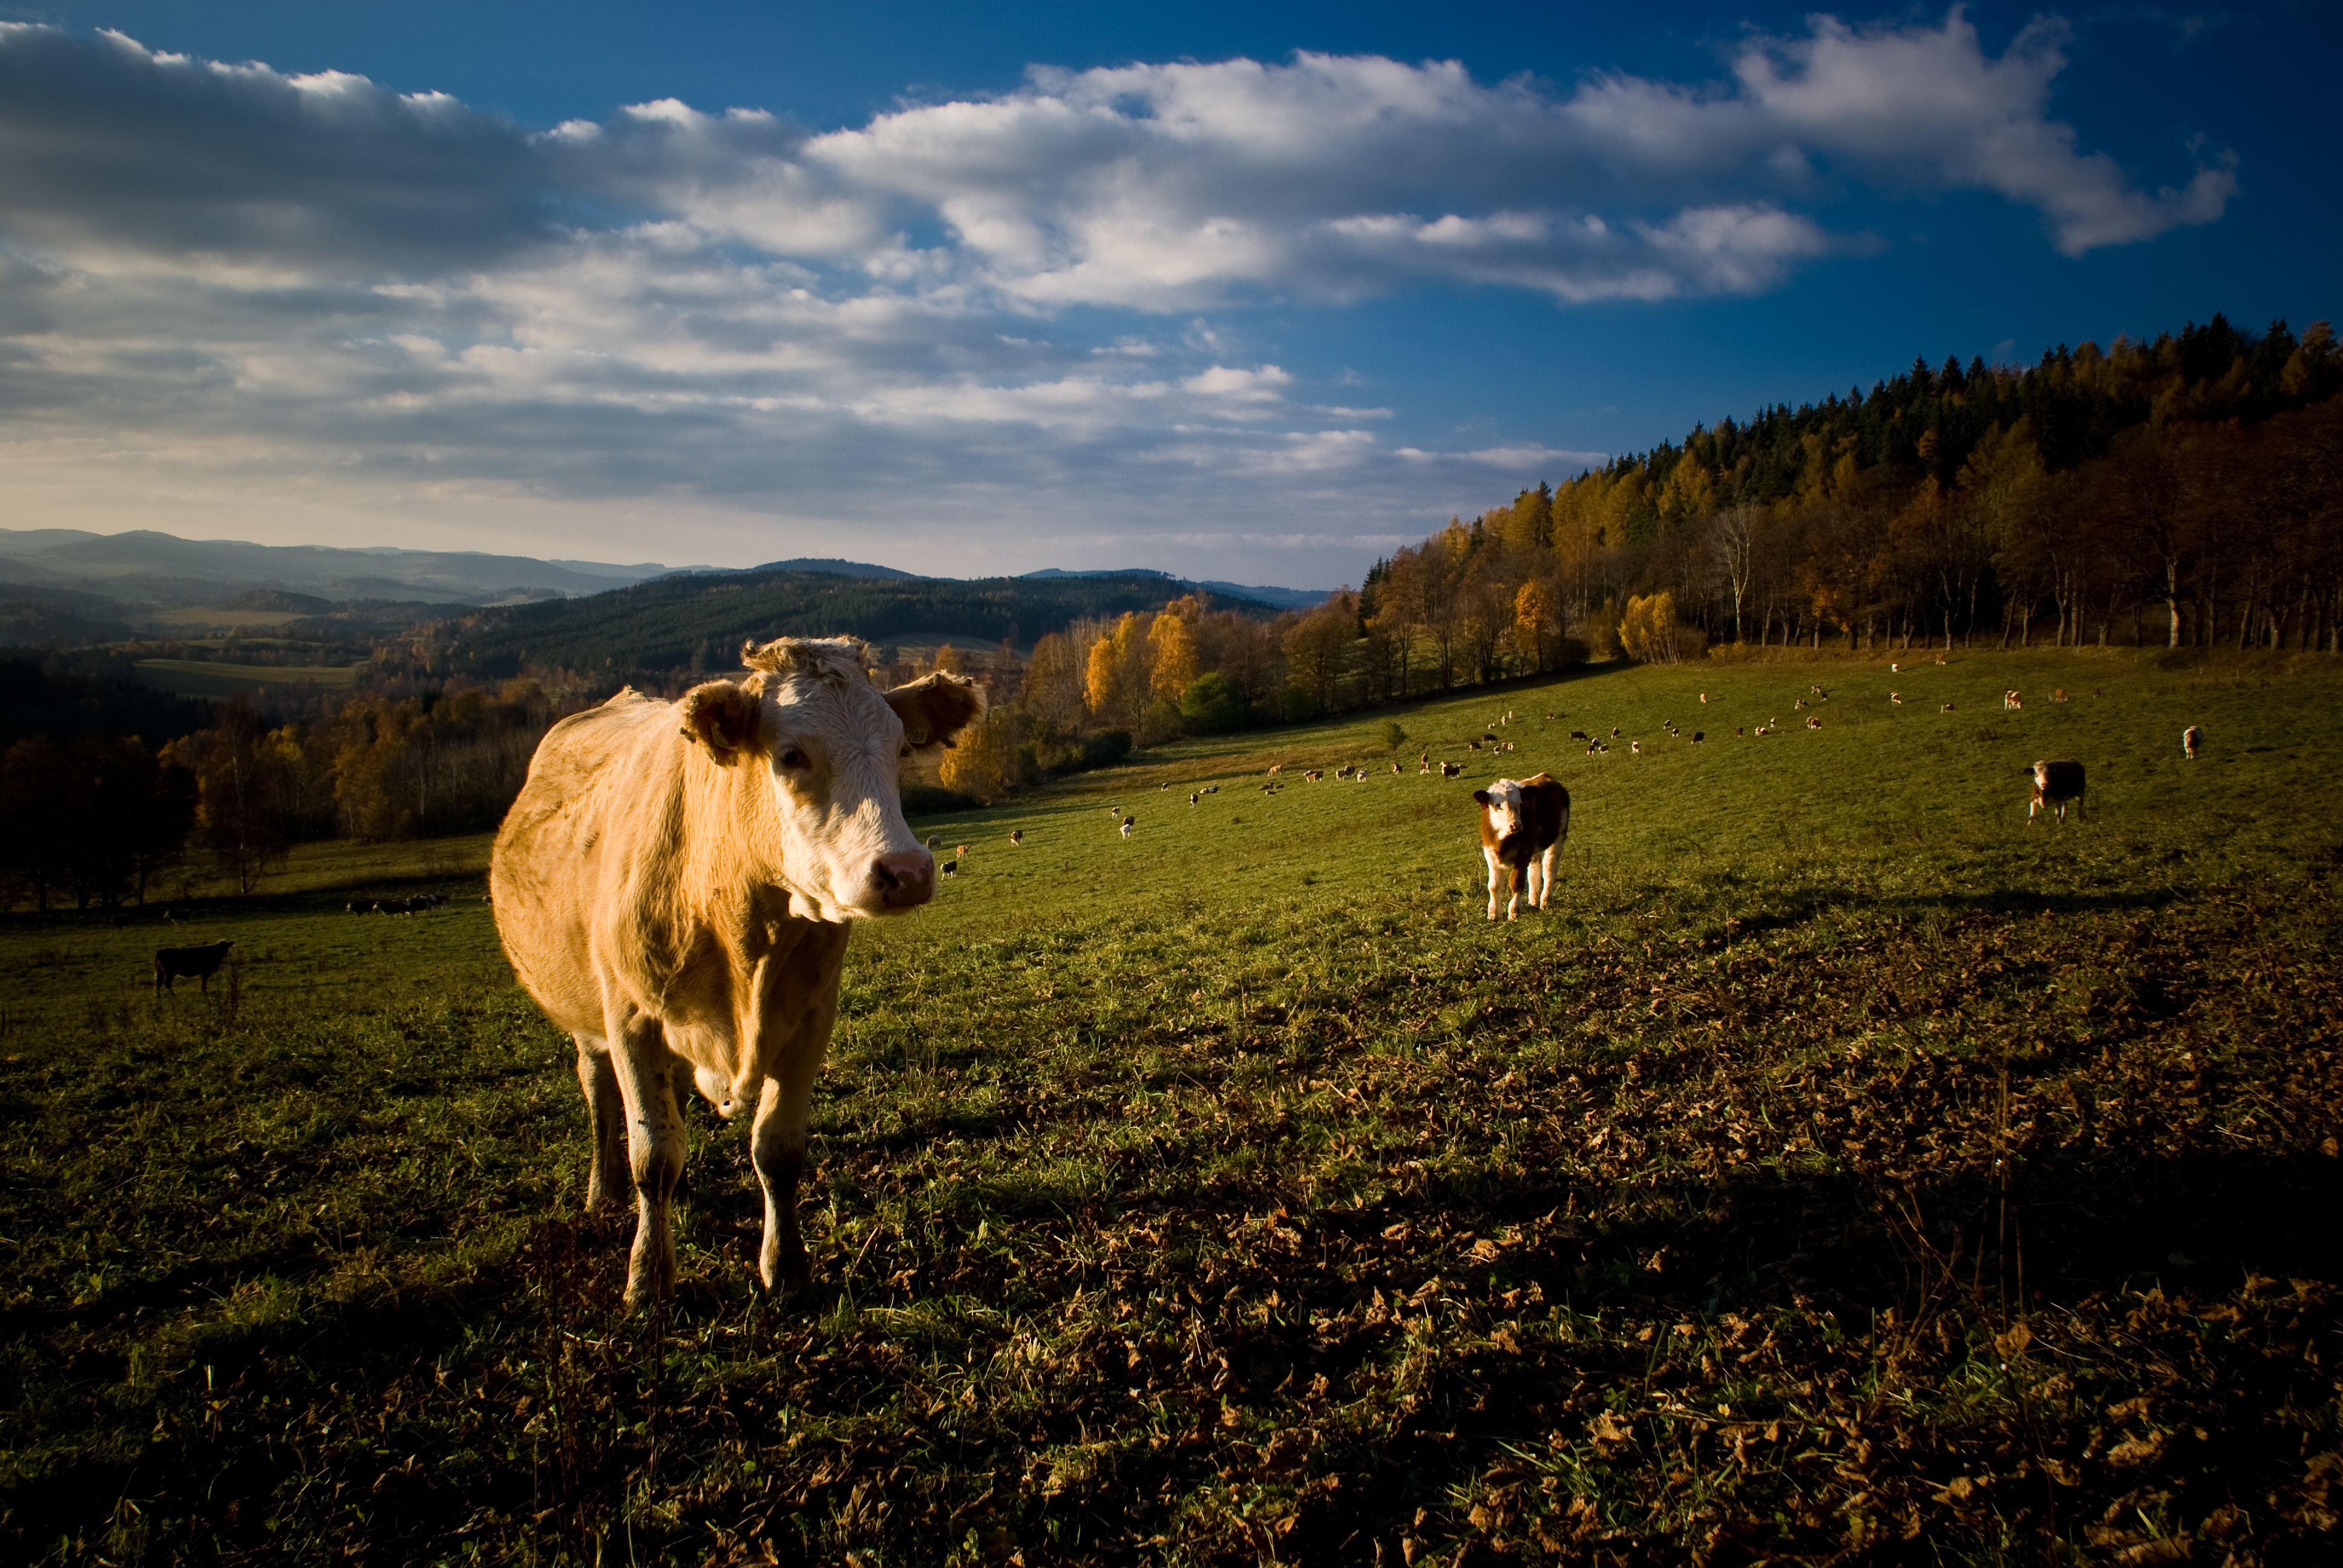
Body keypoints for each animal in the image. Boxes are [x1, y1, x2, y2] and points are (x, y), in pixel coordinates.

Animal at [155, 940, 233, 995]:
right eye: (221, 947)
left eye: (226, 946)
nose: (224, 952)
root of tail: (163, 951)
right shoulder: (206, 971)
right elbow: (204, 981)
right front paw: (205, 991)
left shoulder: (204, 972)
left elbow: (204, 981)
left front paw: (204, 990)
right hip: (170, 972)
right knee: (167, 983)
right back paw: (173, 994)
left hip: (163, 972)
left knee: (159, 982)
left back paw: (159, 996)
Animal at [490, 636, 983, 1307]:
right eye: (791, 754)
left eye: (901, 747)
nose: (906, 871)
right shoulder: (629, 1017)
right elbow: (653, 1153)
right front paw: (646, 1276)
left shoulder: (810, 1020)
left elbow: (777, 1148)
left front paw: (786, 1265)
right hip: (586, 1017)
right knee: (598, 1091)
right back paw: (604, 1190)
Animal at [1473, 774, 1571, 921]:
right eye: (1498, 805)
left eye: (1520, 804)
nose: (1516, 825)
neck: (1504, 840)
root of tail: (1544, 776)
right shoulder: (1490, 853)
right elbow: (1494, 885)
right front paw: (1494, 913)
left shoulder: (1524, 852)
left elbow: (1516, 881)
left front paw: (1514, 911)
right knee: (1534, 869)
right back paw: (1534, 900)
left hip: (1559, 837)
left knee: (1549, 869)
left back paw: (1546, 901)